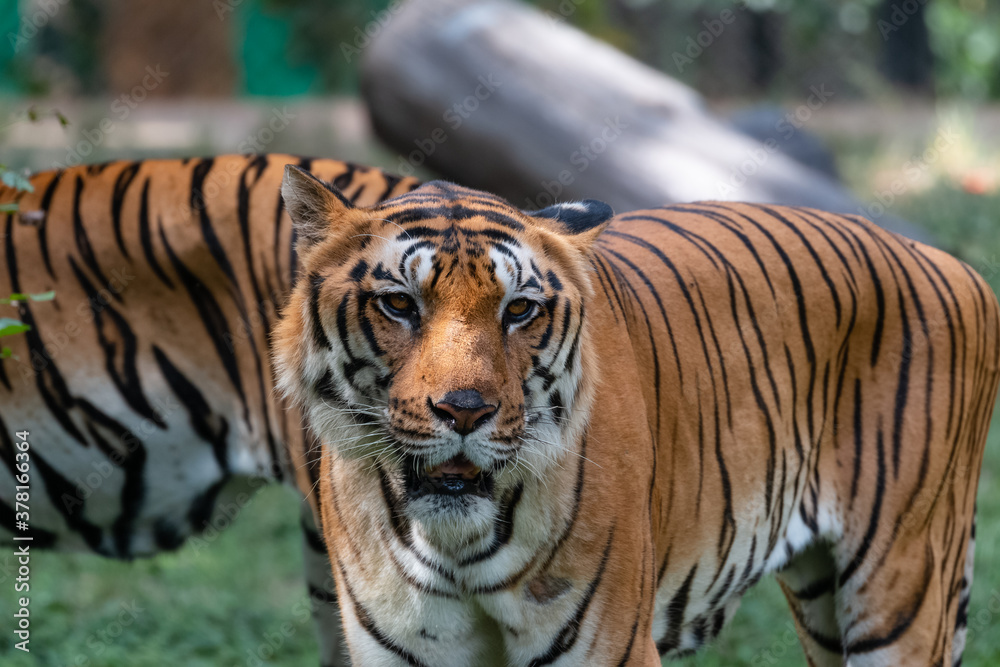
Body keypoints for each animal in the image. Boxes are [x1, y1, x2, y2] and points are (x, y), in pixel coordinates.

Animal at [274, 165, 1000, 667]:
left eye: (519, 310)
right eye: (399, 304)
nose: (464, 411)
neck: (454, 544)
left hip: (901, 590)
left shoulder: (609, 646)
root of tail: (957, 267)